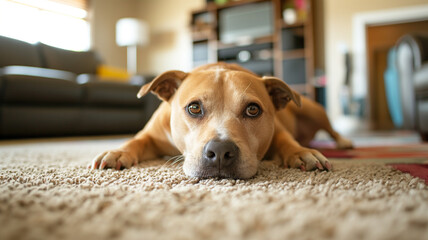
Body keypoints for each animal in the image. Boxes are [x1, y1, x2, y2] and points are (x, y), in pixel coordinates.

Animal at [89, 62, 352, 179]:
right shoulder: (151, 135)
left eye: (253, 110)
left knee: (331, 129)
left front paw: (302, 153)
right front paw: (117, 152)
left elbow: (287, 142)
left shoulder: (278, 132)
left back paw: (344, 142)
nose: (220, 151)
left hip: (315, 109)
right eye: (194, 108)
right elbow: (136, 140)